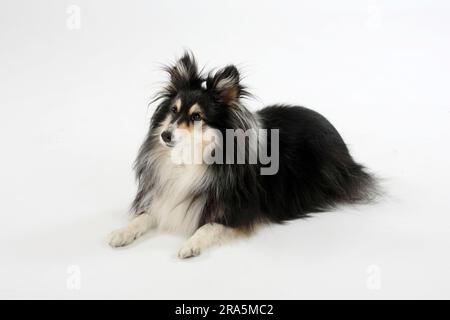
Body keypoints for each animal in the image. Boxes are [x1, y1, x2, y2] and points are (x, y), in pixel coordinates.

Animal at [108, 52, 376, 258]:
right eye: (173, 111)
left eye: (197, 117)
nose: (165, 135)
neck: (191, 159)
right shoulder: (164, 199)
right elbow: (143, 216)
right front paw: (121, 233)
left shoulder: (239, 211)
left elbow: (209, 226)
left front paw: (191, 245)